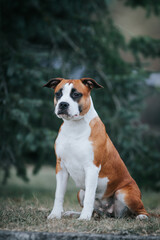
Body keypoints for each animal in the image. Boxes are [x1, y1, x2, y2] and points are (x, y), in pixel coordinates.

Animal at [43, 78, 149, 220]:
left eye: (76, 94)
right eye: (58, 94)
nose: (63, 104)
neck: (74, 127)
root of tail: (108, 211)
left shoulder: (92, 168)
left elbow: (89, 196)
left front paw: (84, 218)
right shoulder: (61, 167)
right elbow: (59, 194)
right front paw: (55, 214)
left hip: (124, 193)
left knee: (142, 211)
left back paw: (142, 217)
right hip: (80, 192)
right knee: (94, 210)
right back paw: (73, 213)